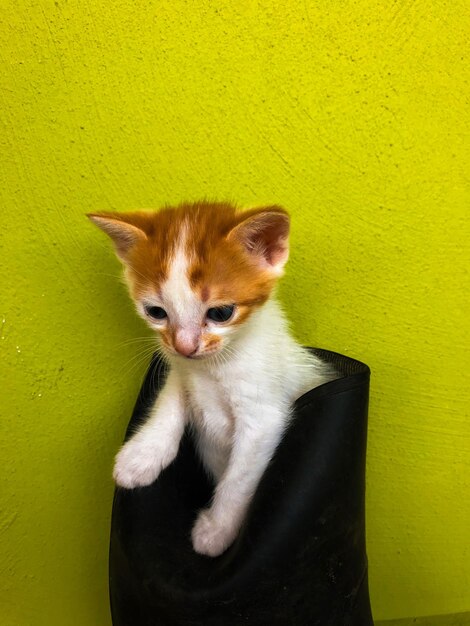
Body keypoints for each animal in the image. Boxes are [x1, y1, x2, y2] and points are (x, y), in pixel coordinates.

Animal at [88, 201, 336, 556]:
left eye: (220, 313)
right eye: (156, 312)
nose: (185, 346)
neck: (211, 369)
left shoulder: (262, 417)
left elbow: (239, 479)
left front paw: (217, 530)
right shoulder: (179, 368)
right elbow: (170, 398)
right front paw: (143, 454)